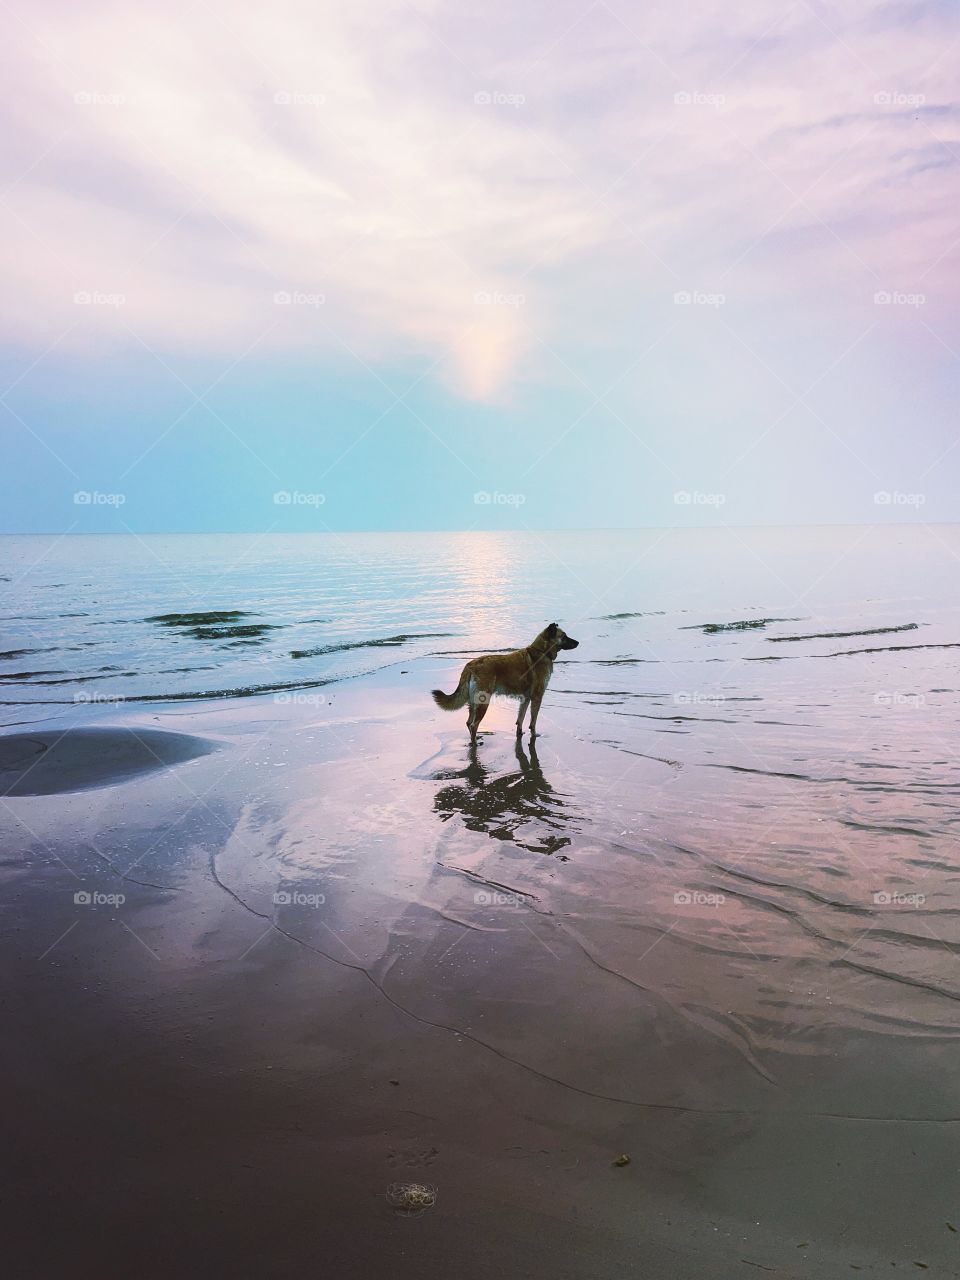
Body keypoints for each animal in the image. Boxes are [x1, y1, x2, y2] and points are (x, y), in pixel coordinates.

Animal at [435, 622, 578, 742]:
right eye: (564, 636)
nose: (578, 642)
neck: (541, 651)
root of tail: (470, 665)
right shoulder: (537, 697)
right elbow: (533, 721)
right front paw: (534, 735)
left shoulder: (526, 699)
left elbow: (520, 719)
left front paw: (519, 734)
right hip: (483, 703)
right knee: (474, 725)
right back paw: (475, 743)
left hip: (473, 703)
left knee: (469, 722)